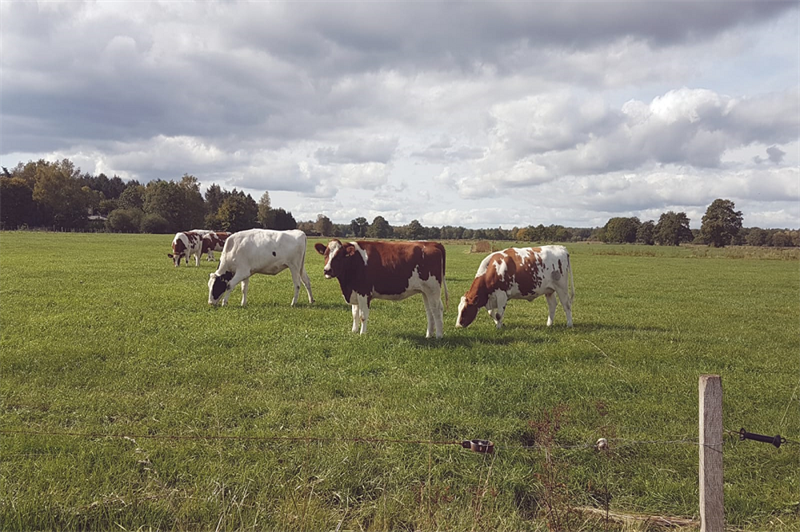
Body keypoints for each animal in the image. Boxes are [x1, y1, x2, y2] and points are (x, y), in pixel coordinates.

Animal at [314, 240, 450, 338]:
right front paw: (353, 331)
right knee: (430, 311)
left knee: (437, 310)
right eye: (325, 255)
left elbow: (363, 315)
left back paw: (438, 336)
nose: (327, 270)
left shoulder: (364, 292)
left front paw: (362, 334)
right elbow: (354, 314)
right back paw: (428, 335)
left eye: (338, 256)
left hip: (433, 289)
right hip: (425, 291)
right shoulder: (354, 292)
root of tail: (433, 243)